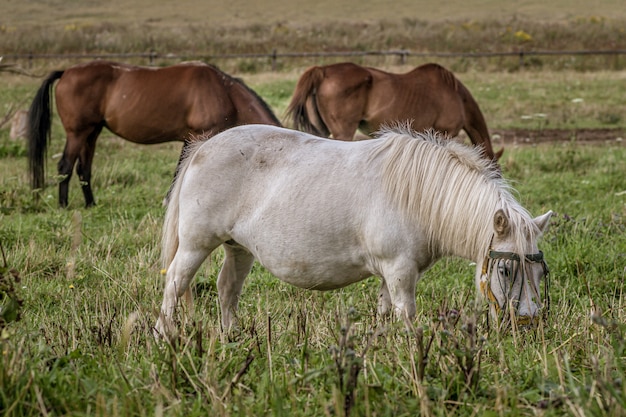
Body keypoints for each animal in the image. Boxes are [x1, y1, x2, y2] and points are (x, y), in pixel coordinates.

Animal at [27, 59, 280, 206]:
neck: (224, 92)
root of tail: (66, 72)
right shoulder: (198, 137)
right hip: (77, 133)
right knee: (65, 166)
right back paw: (63, 205)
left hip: (92, 132)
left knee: (83, 168)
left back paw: (91, 204)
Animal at [154, 125, 548, 336]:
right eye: (506, 269)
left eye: (540, 272)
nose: (528, 321)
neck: (418, 196)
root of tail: (204, 146)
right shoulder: (400, 270)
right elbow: (406, 313)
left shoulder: (391, 273)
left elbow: (385, 312)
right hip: (195, 245)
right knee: (175, 284)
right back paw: (163, 335)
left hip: (238, 249)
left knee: (227, 290)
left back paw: (231, 336)